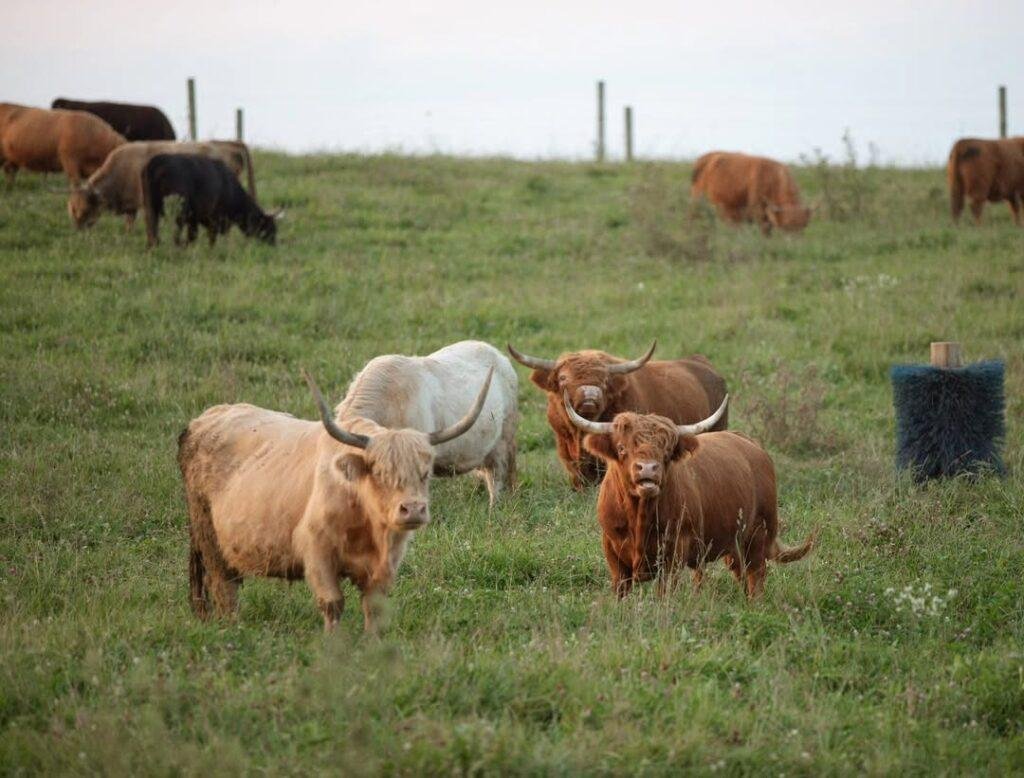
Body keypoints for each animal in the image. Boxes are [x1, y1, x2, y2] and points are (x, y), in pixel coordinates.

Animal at [68, 140, 258, 231]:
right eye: (72, 210)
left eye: (86, 209)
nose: (79, 230)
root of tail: (225, 144)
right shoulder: (132, 205)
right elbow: (129, 224)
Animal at [142, 154, 278, 247]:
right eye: (269, 228)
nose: (274, 244)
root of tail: (158, 162)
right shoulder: (215, 219)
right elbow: (209, 237)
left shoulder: (195, 218)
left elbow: (193, 236)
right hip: (178, 210)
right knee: (175, 231)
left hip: (151, 206)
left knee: (153, 228)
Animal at [178, 368, 494, 632]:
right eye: (379, 472)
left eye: (425, 472)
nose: (413, 509)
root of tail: (204, 419)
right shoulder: (316, 555)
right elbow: (332, 604)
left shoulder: (386, 565)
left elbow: (373, 608)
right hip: (209, 538)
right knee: (224, 588)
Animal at [562, 396, 815, 598]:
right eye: (622, 448)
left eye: (666, 451)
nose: (648, 469)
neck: (639, 517)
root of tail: (750, 443)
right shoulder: (612, 550)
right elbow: (620, 590)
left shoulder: (674, 552)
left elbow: (664, 593)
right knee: (739, 572)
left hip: (758, 532)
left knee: (756, 575)